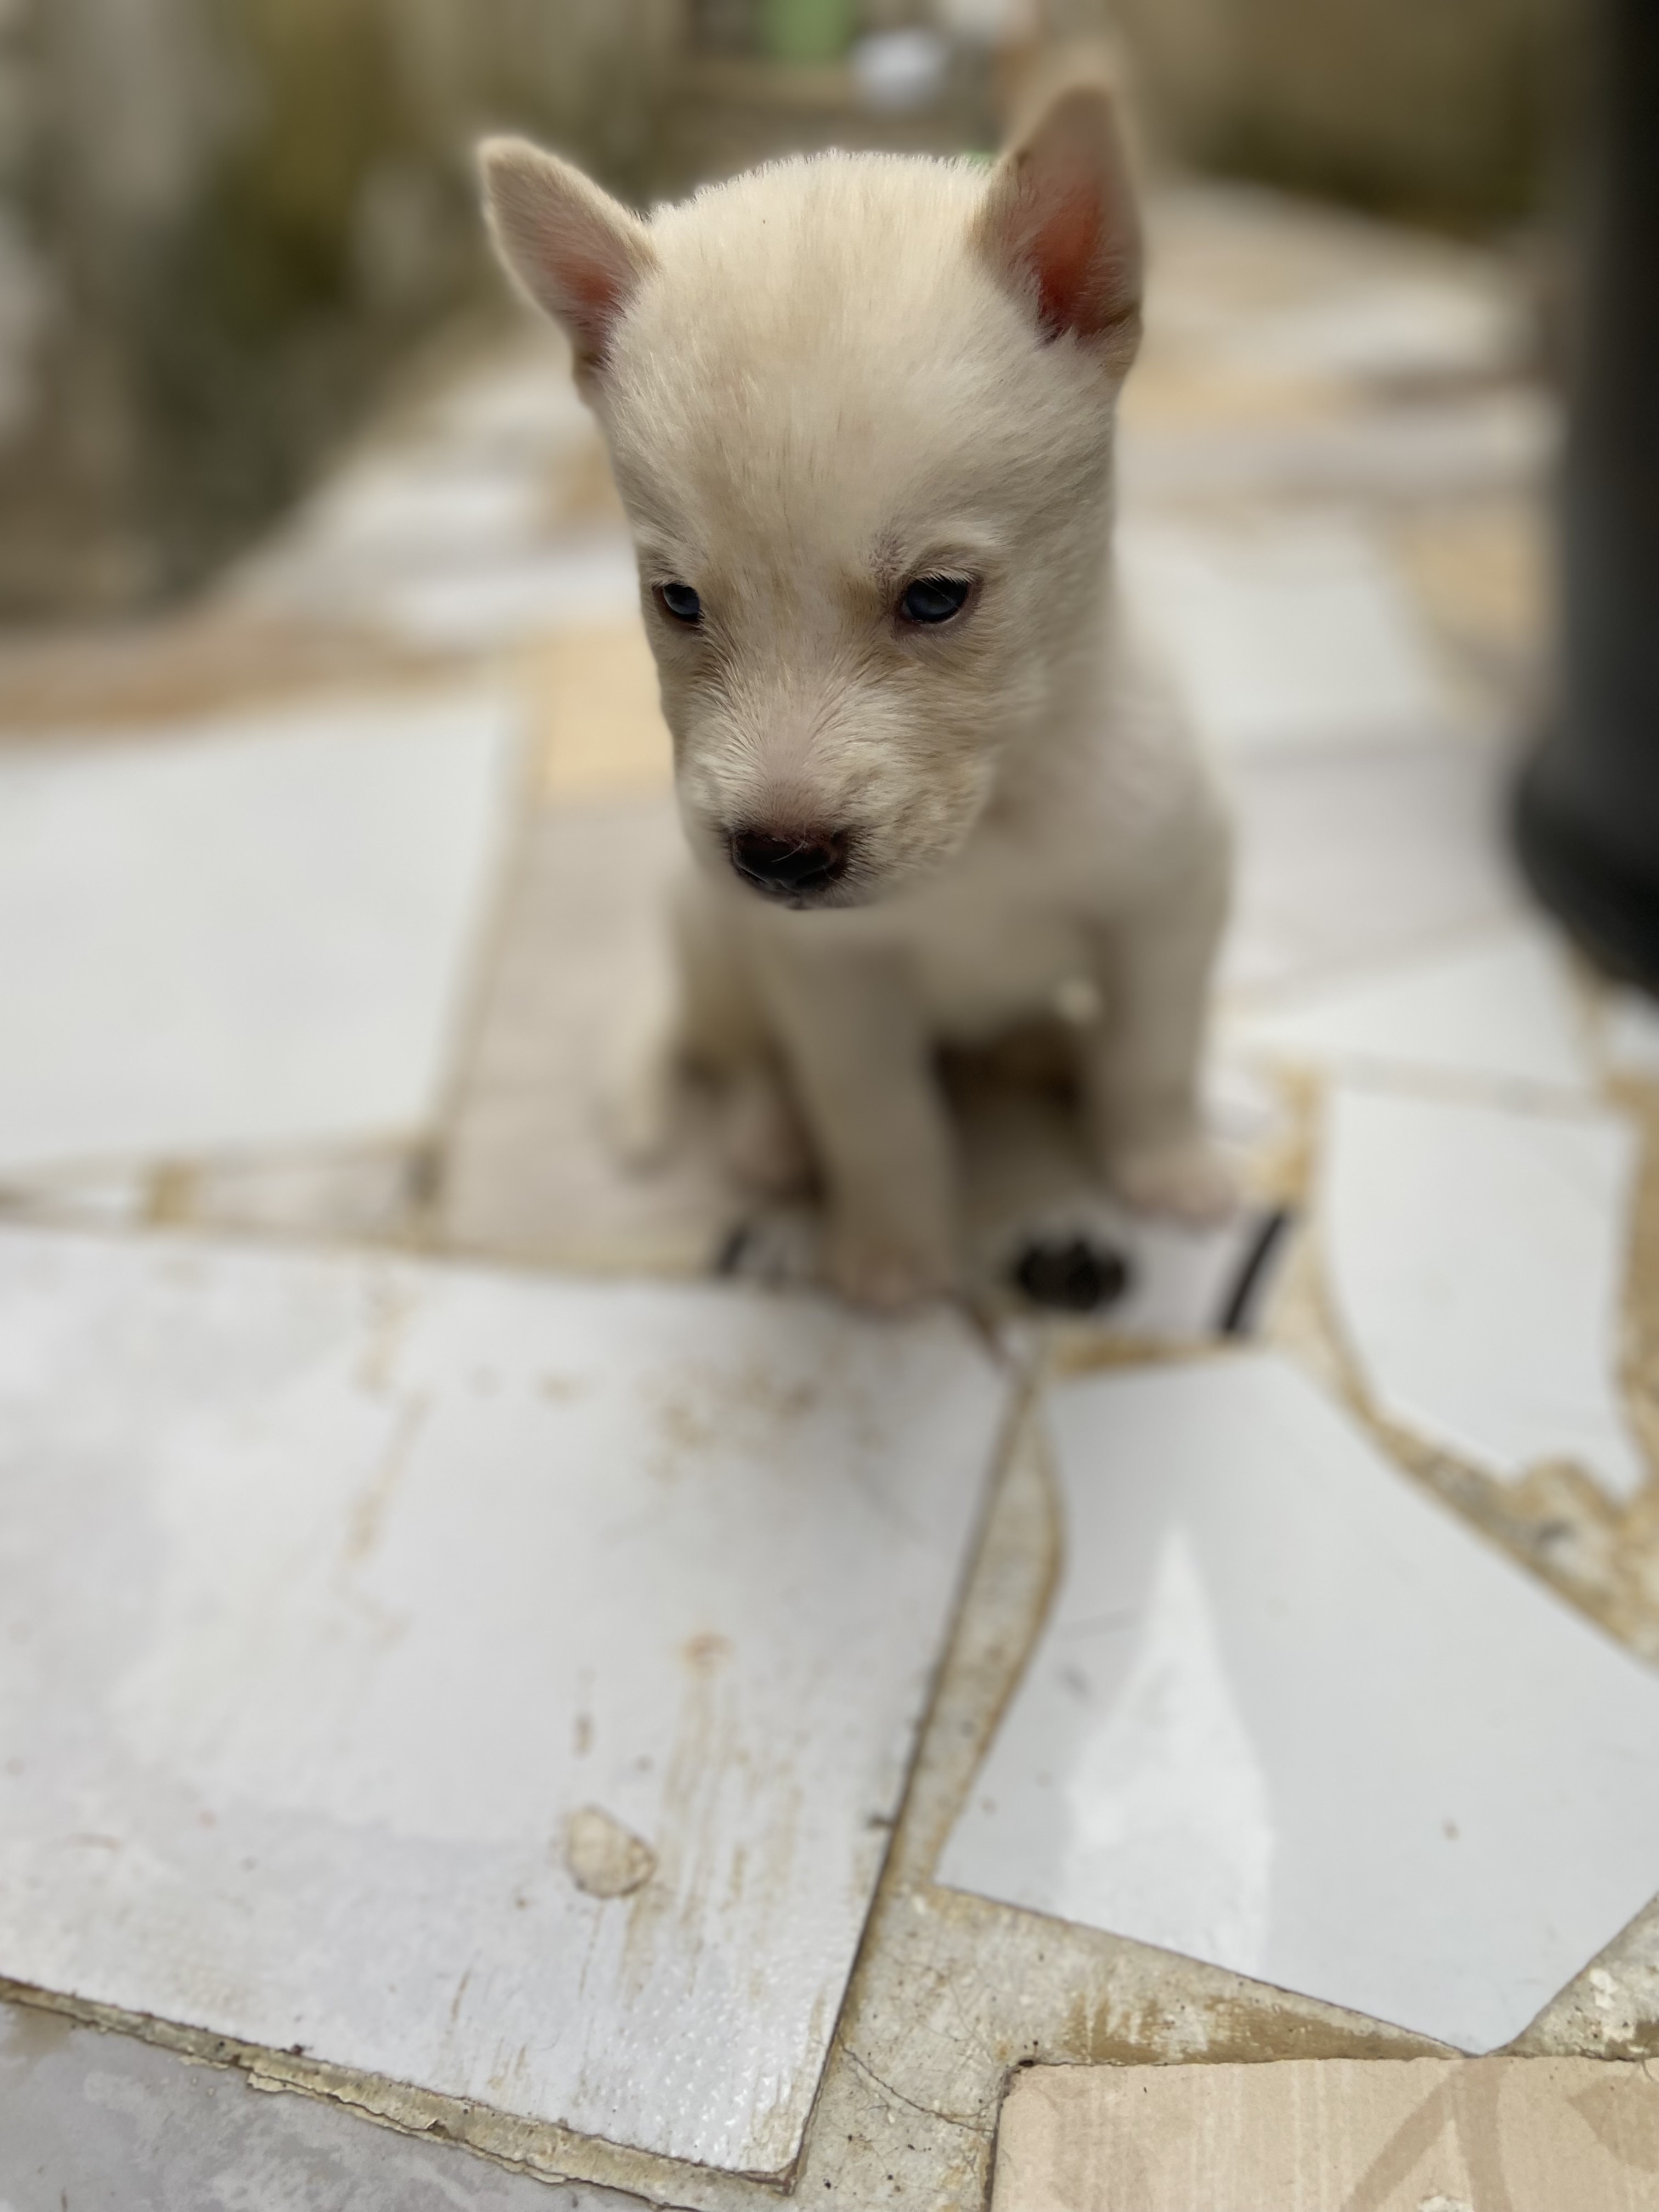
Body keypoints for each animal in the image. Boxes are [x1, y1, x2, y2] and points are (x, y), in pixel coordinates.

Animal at [479, 78, 1238, 1300]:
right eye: (678, 601)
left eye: (935, 597)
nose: (776, 860)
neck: (990, 827)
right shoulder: (830, 977)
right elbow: (876, 1118)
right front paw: (888, 1254)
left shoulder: (1170, 894)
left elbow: (1152, 1054)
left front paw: (1164, 1166)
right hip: (710, 940)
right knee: (748, 1061)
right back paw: (772, 1137)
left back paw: (1045, 1047)